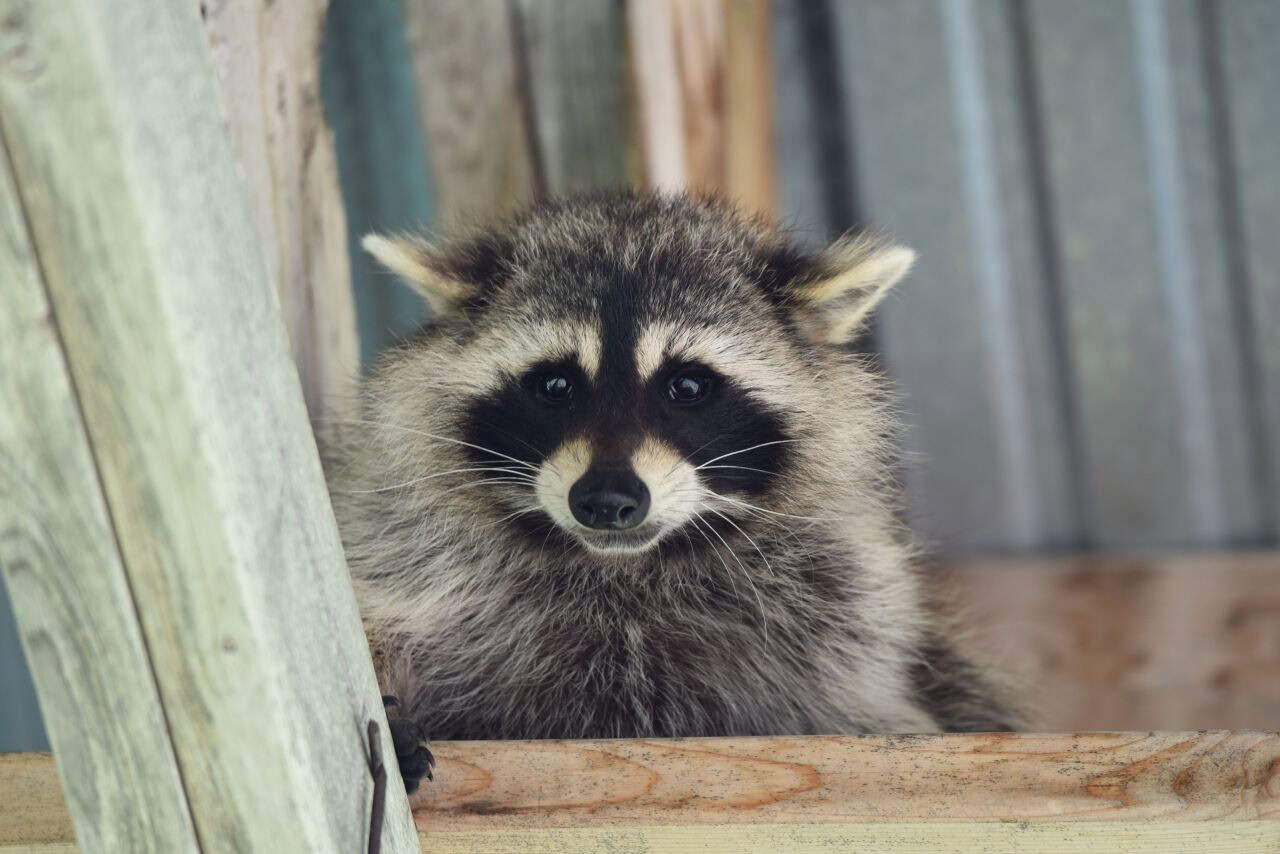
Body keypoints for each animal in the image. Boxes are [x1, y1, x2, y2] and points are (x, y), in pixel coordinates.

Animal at [327, 192, 1016, 790]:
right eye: (554, 385)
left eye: (687, 386)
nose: (606, 500)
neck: (624, 572)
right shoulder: (410, 567)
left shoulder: (841, 620)